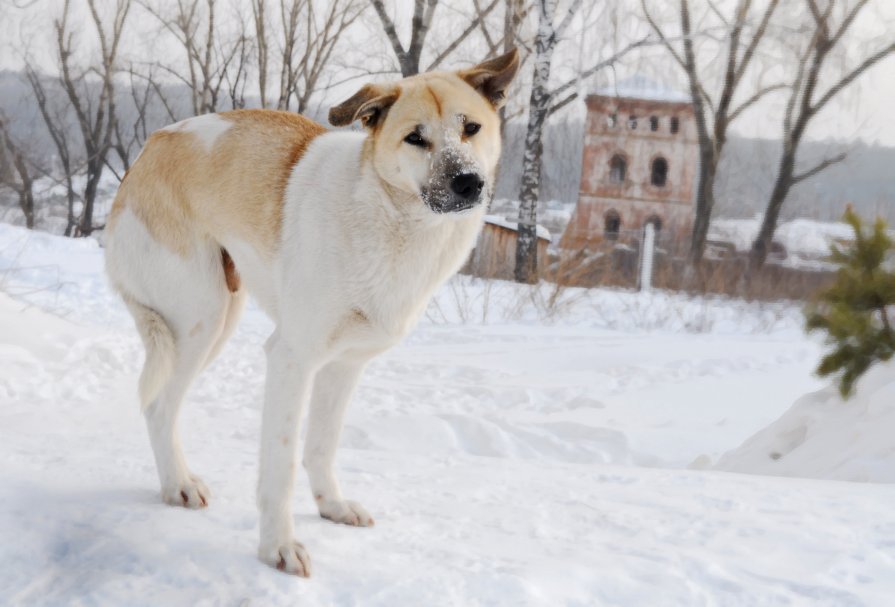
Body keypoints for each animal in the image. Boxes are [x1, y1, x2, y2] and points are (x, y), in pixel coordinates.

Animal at [103, 50, 520, 576]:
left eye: (471, 128)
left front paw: (331, 506)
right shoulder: (291, 358)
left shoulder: (344, 366)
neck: (389, 220)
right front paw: (277, 548)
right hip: (197, 319)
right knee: (159, 405)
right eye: (415, 137)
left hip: (221, 319)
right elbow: (280, 464)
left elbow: (322, 445)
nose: (468, 182)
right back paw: (177, 484)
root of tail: (148, 149)